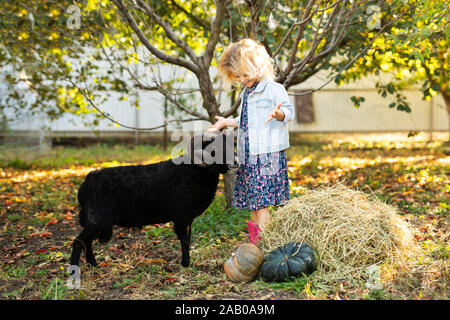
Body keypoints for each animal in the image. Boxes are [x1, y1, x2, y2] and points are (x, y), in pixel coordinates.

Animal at [70, 130, 237, 268]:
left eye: (230, 146)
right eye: (213, 150)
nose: (235, 162)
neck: (193, 172)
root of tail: (86, 182)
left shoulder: (188, 218)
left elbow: (188, 240)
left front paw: (187, 262)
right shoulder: (181, 216)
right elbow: (184, 240)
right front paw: (185, 264)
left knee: (86, 242)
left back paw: (93, 264)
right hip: (98, 219)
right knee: (78, 242)